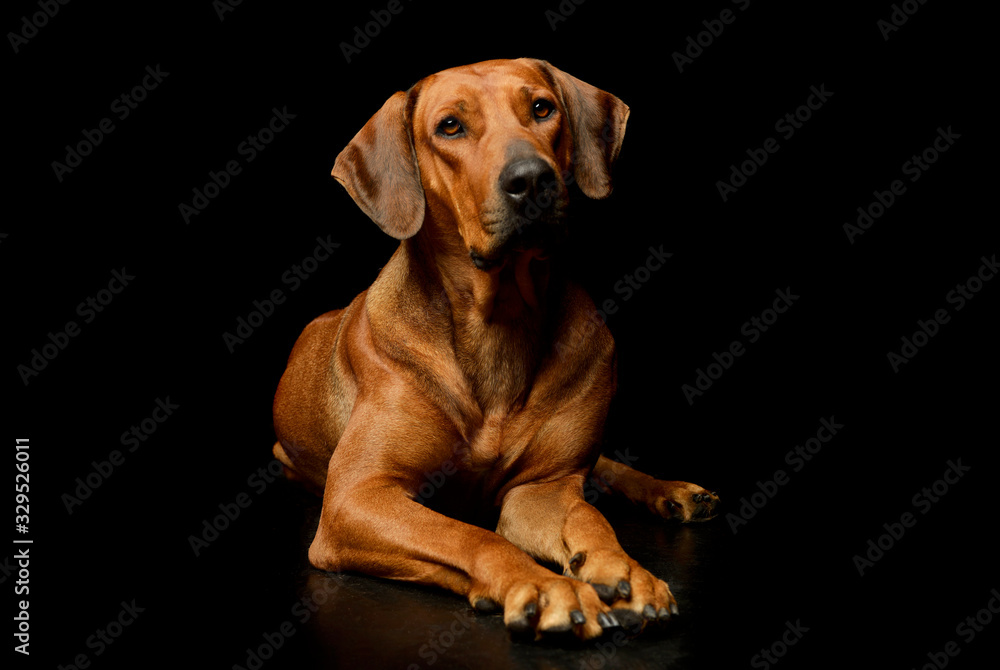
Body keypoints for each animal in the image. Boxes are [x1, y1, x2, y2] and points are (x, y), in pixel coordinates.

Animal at [274, 60, 720, 644]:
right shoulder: (357, 497)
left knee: (601, 468)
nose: (530, 178)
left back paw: (673, 492)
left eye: (542, 108)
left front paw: (624, 571)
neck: (498, 319)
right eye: (450, 127)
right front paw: (544, 586)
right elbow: (471, 535)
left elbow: (588, 519)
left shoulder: (542, 489)